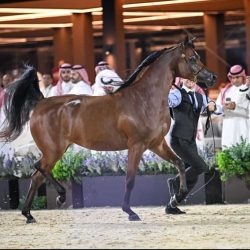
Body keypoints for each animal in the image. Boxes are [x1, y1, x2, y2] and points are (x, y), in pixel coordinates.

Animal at [0, 37, 216, 223]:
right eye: (192, 58)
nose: (212, 77)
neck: (144, 99)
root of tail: (41, 102)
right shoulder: (136, 145)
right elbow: (130, 179)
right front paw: (130, 212)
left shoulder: (156, 143)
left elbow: (179, 163)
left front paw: (179, 196)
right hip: (53, 150)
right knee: (39, 167)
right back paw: (59, 197)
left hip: (56, 151)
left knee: (37, 176)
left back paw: (29, 214)